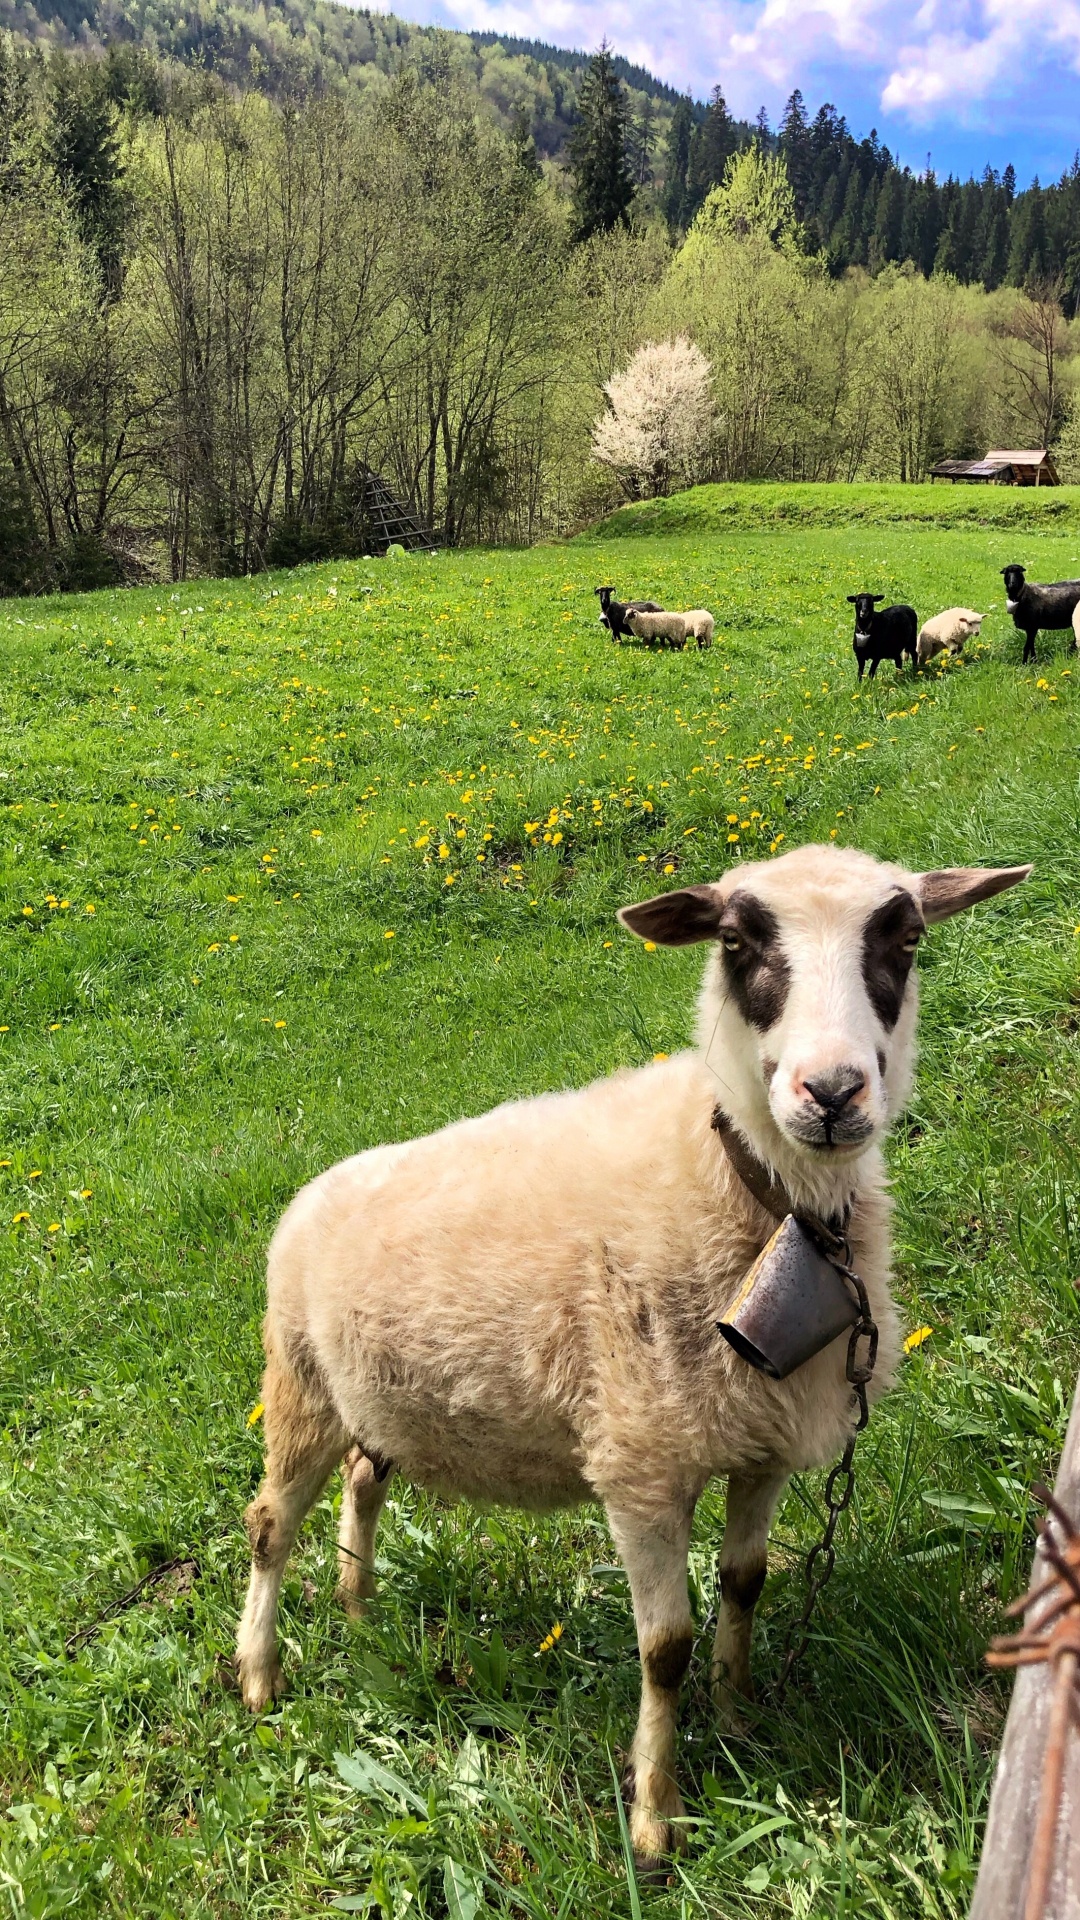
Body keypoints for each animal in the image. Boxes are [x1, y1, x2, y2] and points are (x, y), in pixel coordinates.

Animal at [235, 842, 1031, 1866]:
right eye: (736, 942)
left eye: (906, 939)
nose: (832, 1093)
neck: (748, 1185)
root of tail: (311, 1191)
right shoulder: (643, 1465)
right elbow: (665, 1650)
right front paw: (656, 1816)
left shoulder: (762, 1441)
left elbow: (746, 1584)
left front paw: (736, 1715)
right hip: (298, 1382)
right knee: (269, 1523)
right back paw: (260, 1675)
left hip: (380, 1397)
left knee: (366, 1480)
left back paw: (360, 1606)